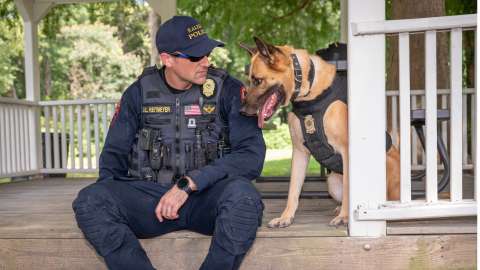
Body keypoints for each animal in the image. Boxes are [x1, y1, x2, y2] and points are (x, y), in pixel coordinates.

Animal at [238, 38, 400, 227]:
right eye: (250, 80)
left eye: (257, 81)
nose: (242, 111)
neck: (309, 90)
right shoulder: (299, 152)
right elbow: (293, 189)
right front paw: (286, 217)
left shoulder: (346, 150)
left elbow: (349, 187)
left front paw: (345, 217)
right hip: (332, 182)